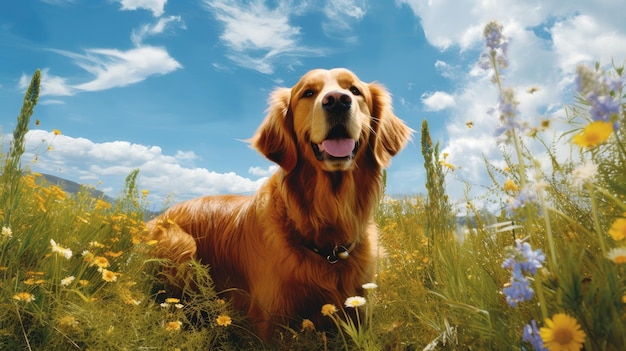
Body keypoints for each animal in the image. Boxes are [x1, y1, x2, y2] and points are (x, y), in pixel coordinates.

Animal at [145, 68, 410, 340]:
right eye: (308, 93)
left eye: (355, 91)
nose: (337, 100)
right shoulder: (272, 319)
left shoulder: (360, 309)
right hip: (181, 245)